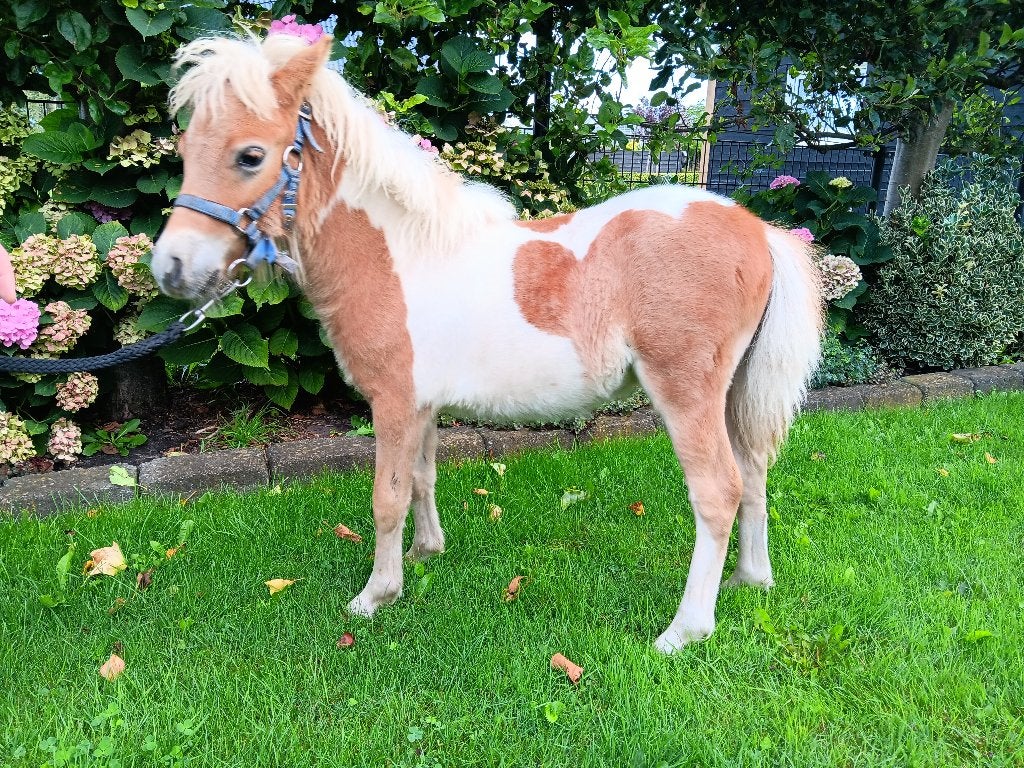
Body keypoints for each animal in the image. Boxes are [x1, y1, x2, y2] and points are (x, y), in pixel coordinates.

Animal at [151, 33, 823, 653]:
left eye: (250, 155)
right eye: (184, 150)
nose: (171, 268)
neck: (401, 256)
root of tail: (756, 229)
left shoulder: (393, 403)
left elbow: (386, 498)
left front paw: (375, 595)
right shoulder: (420, 406)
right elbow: (421, 479)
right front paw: (425, 554)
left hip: (686, 394)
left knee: (718, 492)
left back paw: (684, 630)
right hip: (732, 394)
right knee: (753, 473)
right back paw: (749, 580)